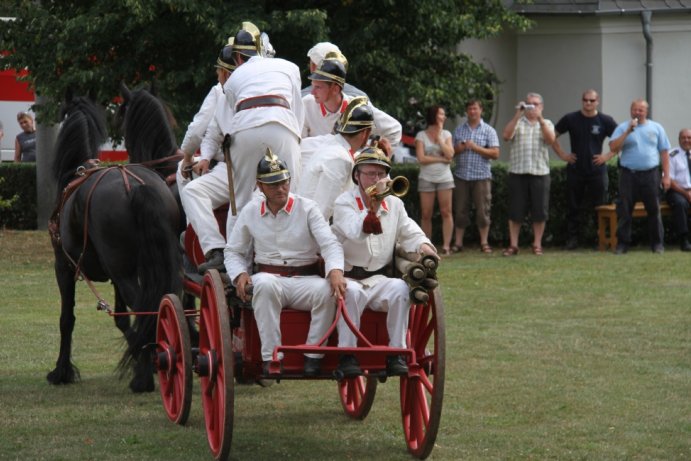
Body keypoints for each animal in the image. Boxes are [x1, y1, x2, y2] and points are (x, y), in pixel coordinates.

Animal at [49, 95, 184, 390]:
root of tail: (136, 187)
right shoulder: (117, 276)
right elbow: (123, 319)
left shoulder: (63, 267)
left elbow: (66, 319)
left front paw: (61, 371)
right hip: (157, 265)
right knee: (167, 302)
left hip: (122, 270)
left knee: (148, 308)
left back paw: (143, 378)